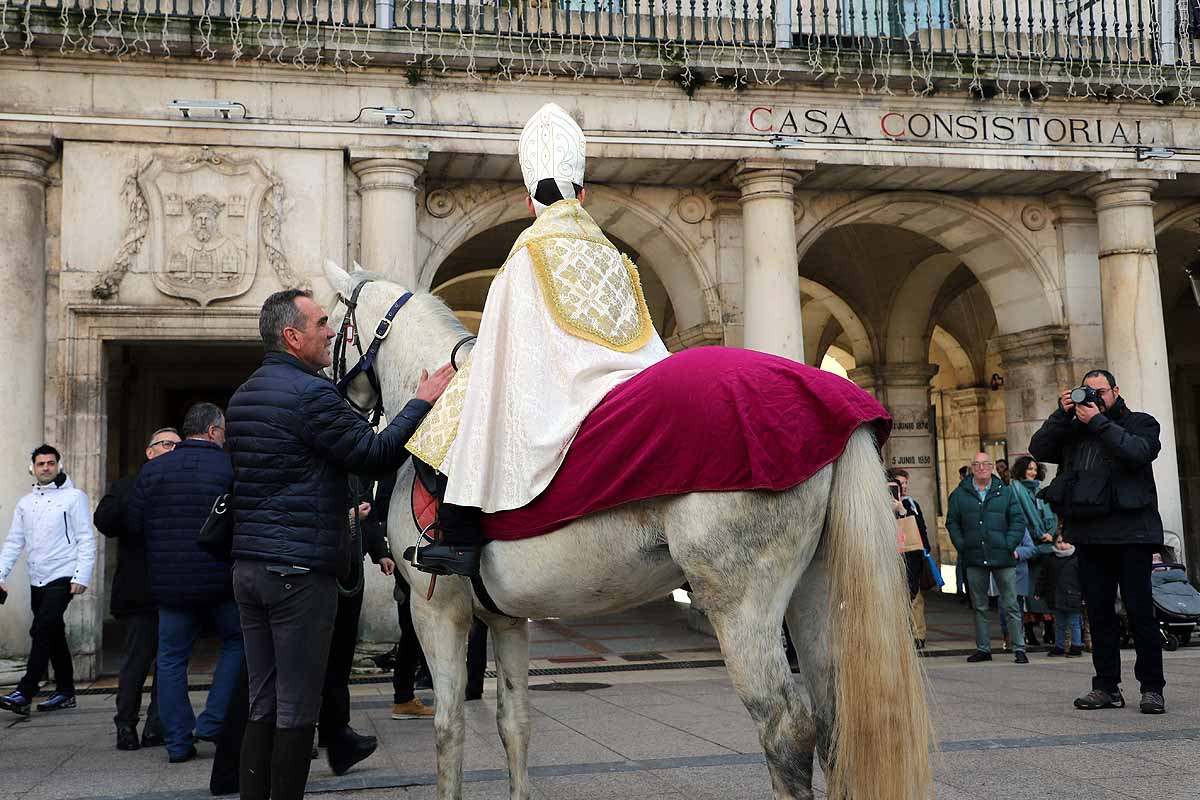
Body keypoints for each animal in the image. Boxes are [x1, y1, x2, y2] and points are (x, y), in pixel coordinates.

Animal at [324, 260, 931, 796]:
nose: (331, 392)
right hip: (816, 589)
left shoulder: (438, 613)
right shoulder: (506, 619)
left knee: (786, 729)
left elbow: (448, 732)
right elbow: (514, 725)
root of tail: (832, 405)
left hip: (742, 601)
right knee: (836, 722)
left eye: (330, 324)